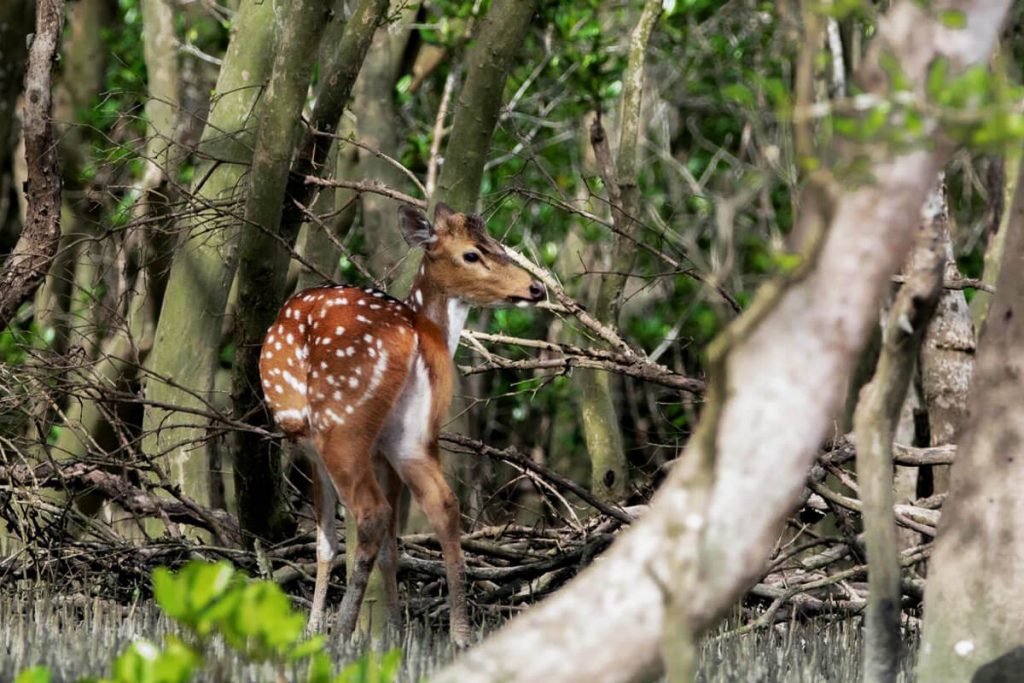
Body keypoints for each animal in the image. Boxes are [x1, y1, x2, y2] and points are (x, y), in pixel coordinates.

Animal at [258, 200, 544, 643]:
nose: (536, 288)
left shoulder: (310, 445)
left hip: (339, 421)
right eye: (475, 252)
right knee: (444, 503)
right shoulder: (384, 453)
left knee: (370, 513)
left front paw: (314, 628)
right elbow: (392, 547)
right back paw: (459, 632)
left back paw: (341, 633)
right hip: (410, 434)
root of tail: (415, 332)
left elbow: (326, 542)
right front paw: (392, 629)